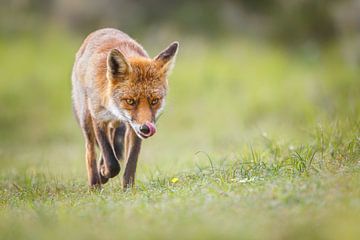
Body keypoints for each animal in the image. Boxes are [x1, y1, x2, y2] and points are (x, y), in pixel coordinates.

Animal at [71, 28, 178, 188]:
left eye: (154, 101)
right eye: (130, 101)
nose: (145, 128)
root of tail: (101, 30)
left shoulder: (132, 128)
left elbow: (130, 162)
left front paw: (128, 188)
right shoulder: (98, 117)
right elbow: (111, 160)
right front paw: (105, 172)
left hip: (116, 124)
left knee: (111, 138)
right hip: (85, 117)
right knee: (90, 149)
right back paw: (95, 183)